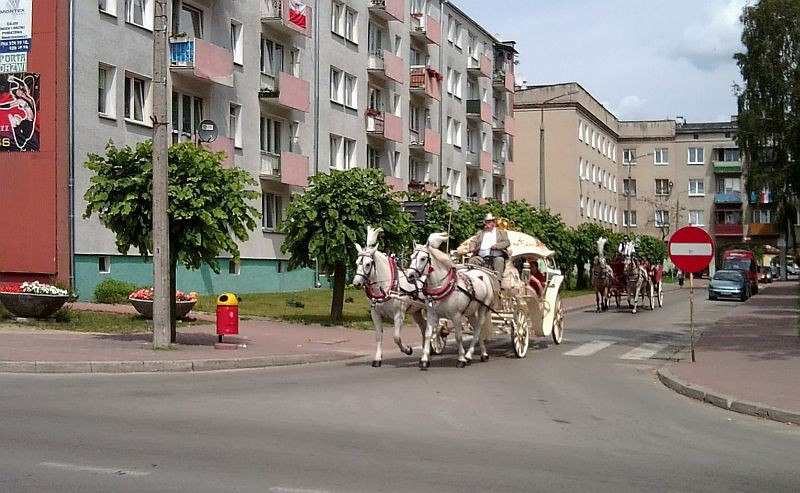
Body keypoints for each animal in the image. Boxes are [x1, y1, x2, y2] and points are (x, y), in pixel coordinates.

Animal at [352, 226, 424, 366]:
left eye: (368, 264)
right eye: (357, 262)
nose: (356, 283)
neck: (387, 287)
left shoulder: (399, 315)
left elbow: (396, 337)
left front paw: (407, 349)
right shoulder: (375, 314)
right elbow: (378, 336)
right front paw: (377, 358)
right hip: (416, 311)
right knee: (425, 327)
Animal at [410, 233, 496, 368]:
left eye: (423, 258)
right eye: (411, 257)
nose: (410, 276)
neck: (442, 286)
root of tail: (483, 272)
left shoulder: (456, 315)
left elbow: (458, 336)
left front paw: (461, 359)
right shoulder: (431, 314)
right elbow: (428, 334)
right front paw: (424, 359)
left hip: (484, 307)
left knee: (478, 329)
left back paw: (469, 355)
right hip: (471, 311)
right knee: (477, 328)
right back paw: (482, 354)